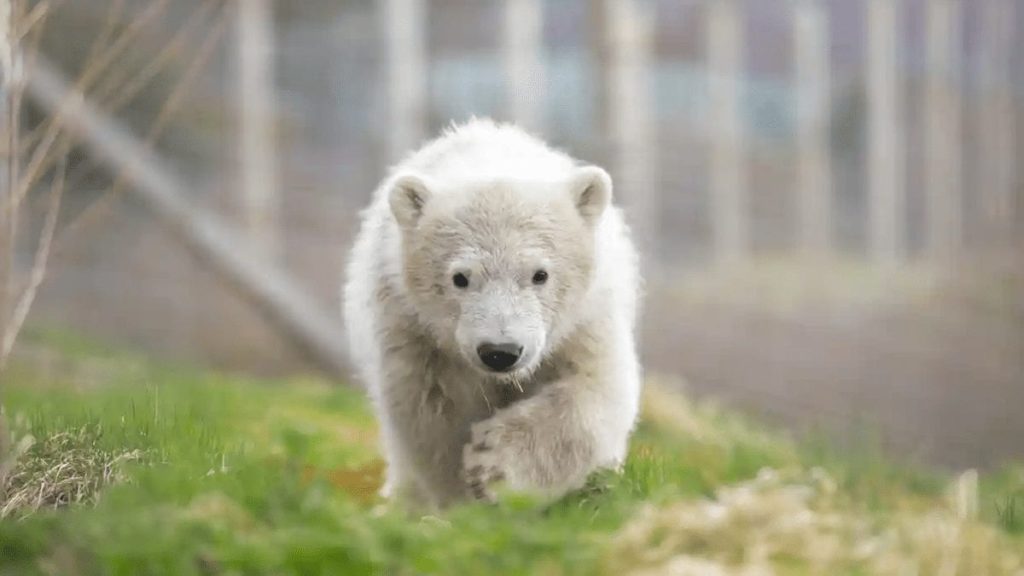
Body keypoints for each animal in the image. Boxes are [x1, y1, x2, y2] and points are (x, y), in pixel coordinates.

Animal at [343, 118, 642, 509]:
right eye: (460, 277)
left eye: (540, 274)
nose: (501, 352)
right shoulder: (413, 330)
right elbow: (433, 413)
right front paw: (462, 498)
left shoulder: (586, 320)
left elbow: (594, 390)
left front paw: (495, 467)